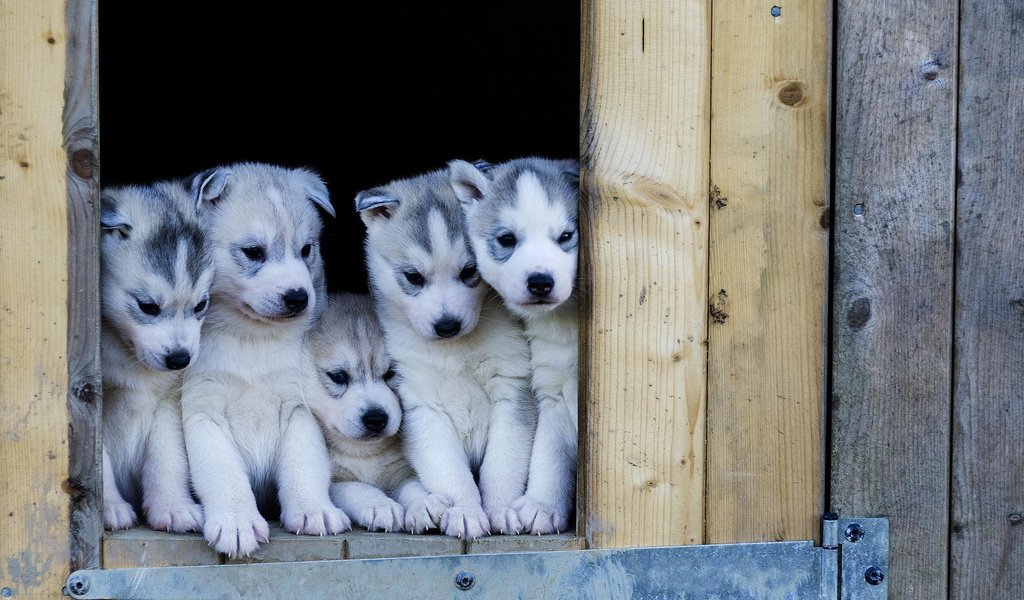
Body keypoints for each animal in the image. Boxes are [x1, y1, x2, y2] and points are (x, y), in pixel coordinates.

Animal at [98, 176, 212, 528]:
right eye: (147, 306)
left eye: (201, 305)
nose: (179, 359)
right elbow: (100, 463)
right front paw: (109, 507)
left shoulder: (167, 401)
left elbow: (167, 456)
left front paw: (172, 506)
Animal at [180, 160, 348, 552]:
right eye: (254, 251)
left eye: (306, 249)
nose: (298, 297)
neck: (251, 340)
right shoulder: (202, 410)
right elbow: (223, 471)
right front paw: (236, 521)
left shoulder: (299, 406)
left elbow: (304, 463)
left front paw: (314, 510)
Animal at [301, 292, 450, 528]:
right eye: (339, 376)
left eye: (391, 373)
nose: (376, 418)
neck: (365, 454)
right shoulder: (336, 483)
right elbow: (356, 488)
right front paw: (380, 505)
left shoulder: (402, 469)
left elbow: (410, 484)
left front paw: (425, 502)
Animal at [358, 166, 536, 536]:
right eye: (413, 276)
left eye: (470, 272)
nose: (447, 325)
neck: (456, 352)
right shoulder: (421, 404)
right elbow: (449, 471)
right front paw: (465, 511)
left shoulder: (512, 389)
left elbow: (502, 463)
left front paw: (501, 510)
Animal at [450, 157, 581, 532]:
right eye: (506, 239)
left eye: (566, 236)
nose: (540, 282)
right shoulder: (552, 389)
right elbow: (549, 452)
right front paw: (542, 505)